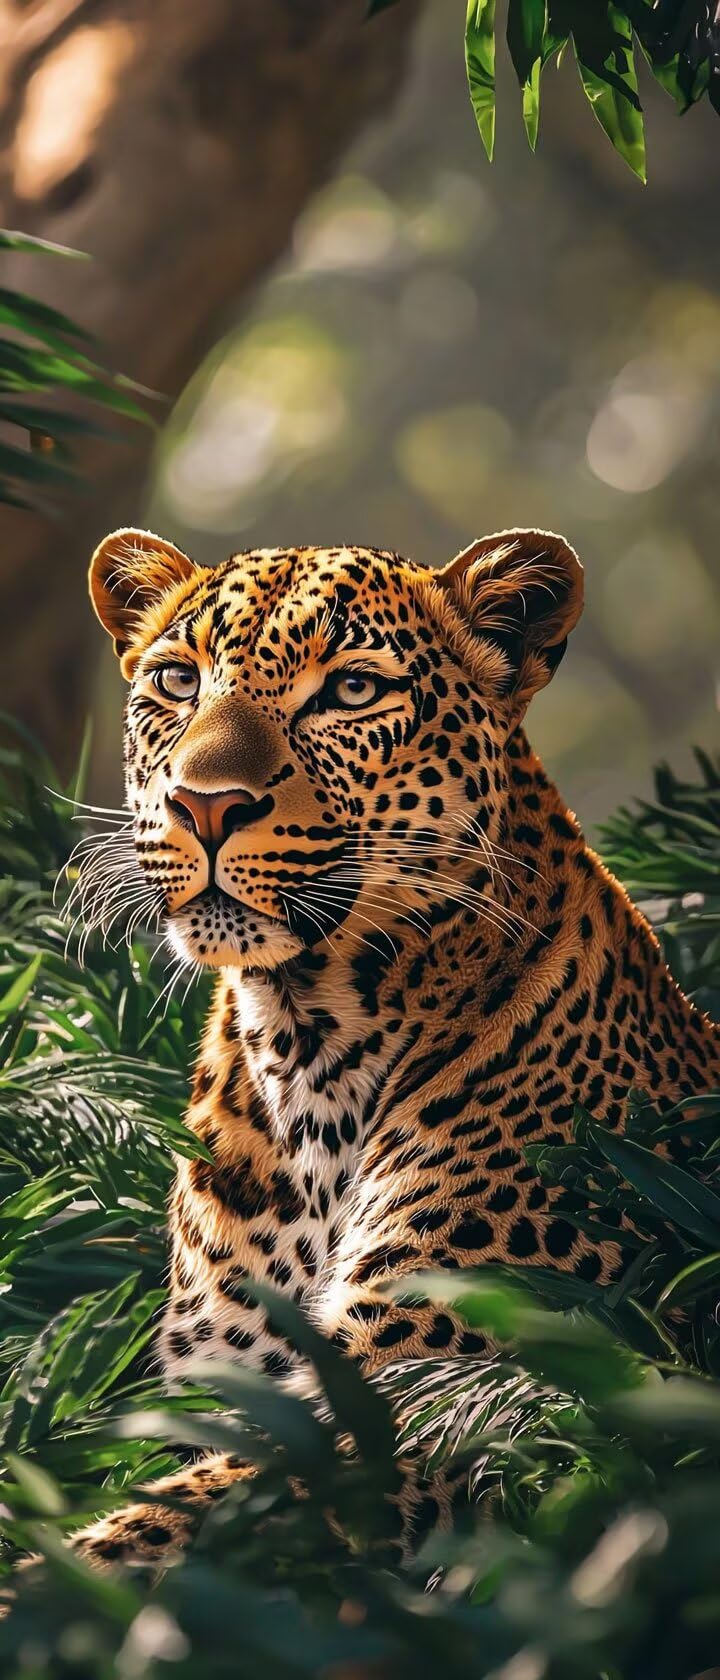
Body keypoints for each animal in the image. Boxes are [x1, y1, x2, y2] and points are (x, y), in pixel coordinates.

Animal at [65, 523, 719, 1568]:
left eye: (352, 691)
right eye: (175, 679)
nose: (202, 806)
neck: (307, 1044)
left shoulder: (437, 1379)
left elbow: (156, 1531)